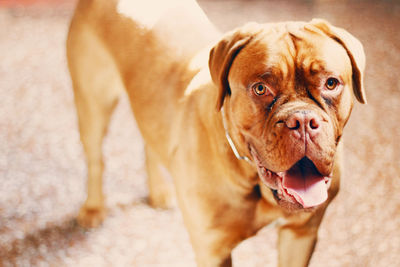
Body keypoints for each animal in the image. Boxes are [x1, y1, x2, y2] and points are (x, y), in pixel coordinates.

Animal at [66, 0, 366, 266]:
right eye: (260, 89)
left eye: (331, 83)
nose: (302, 120)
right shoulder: (213, 250)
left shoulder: (300, 235)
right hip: (93, 103)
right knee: (96, 158)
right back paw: (93, 208)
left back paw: (159, 191)